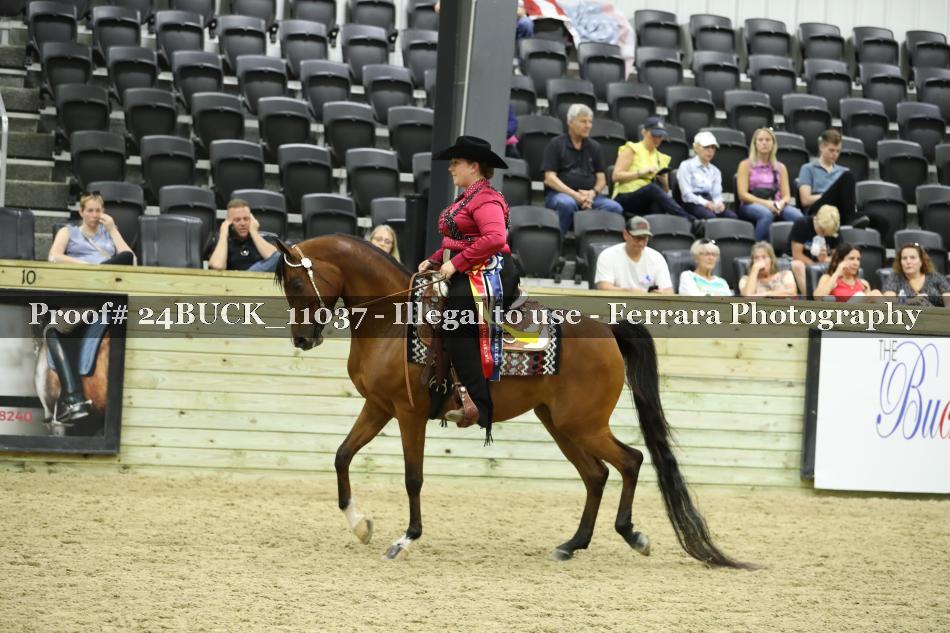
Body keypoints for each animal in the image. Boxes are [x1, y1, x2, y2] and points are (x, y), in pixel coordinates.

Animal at [274, 235, 748, 568]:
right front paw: (360, 526)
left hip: (583, 424)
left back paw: (632, 535)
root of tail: (608, 331)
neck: (393, 323)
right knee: (596, 475)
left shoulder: (409, 414)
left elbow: (413, 478)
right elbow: (342, 455)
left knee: (629, 461)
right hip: (559, 423)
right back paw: (571, 545)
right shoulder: (378, 407)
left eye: (296, 281)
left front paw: (405, 539)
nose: (302, 340)